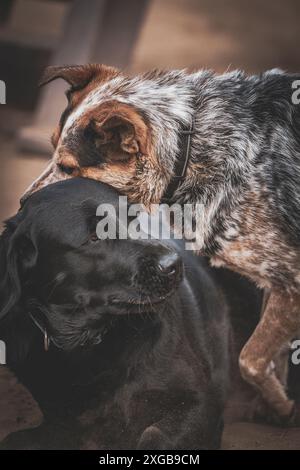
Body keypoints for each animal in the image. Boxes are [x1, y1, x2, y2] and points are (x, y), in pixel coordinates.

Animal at [0, 178, 251, 450]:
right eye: (93, 238)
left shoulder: (202, 402)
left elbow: (154, 435)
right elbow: (19, 437)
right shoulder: (60, 424)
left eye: (134, 219)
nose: (173, 264)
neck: (88, 341)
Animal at [24, 65, 300, 422]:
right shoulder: (277, 282)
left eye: (69, 168)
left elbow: (250, 360)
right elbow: (271, 358)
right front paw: (277, 406)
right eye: (51, 147)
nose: (24, 204)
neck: (190, 144)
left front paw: (281, 406)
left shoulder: (291, 281)